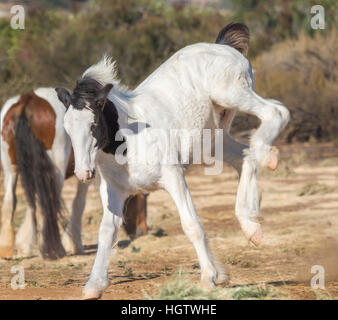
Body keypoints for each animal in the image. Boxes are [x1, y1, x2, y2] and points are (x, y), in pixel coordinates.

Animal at [0, 87, 148, 260]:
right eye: (142, 197)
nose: (143, 230)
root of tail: (28, 100)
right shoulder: (89, 174)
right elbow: (79, 203)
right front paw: (73, 244)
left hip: (11, 170)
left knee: (13, 202)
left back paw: (7, 248)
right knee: (49, 203)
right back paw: (56, 250)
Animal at [56, 23, 290, 300]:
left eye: (93, 125)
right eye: (67, 129)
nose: (84, 173)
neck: (131, 140)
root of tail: (223, 46)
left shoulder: (174, 178)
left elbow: (191, 225)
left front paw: (209, 278)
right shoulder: (114, 191)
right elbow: (107, 231)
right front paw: (94, 285)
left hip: (232, 95)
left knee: (276, 112)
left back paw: (267, 155)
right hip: (212, 140)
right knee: (245, 156)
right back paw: (251, 226)